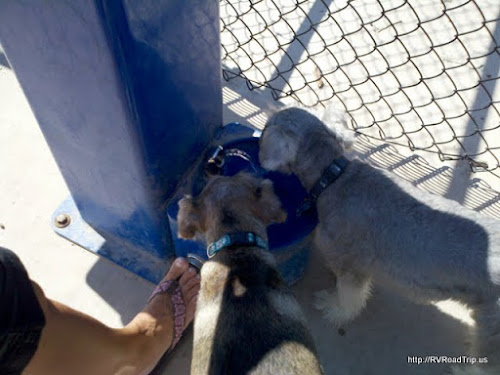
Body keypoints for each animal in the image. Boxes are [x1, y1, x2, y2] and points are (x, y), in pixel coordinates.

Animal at [260, 107, 500, 374]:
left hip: (491, 328)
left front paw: (333, 307)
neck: (334, 178)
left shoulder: (352, 266)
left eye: (266, 128)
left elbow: (348, 298)